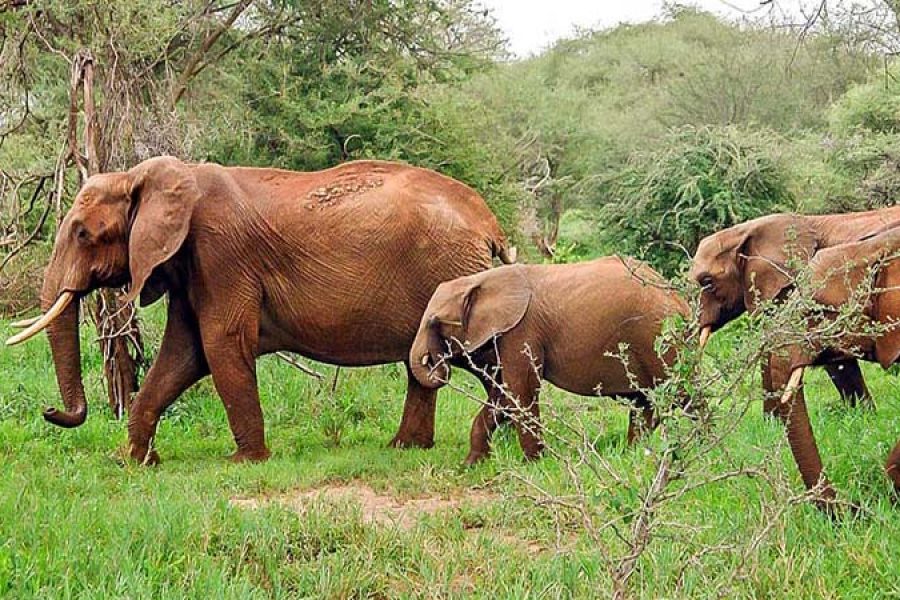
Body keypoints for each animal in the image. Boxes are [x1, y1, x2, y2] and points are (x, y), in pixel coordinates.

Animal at [5, 156, 512, 464]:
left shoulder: (220, 254)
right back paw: (406, 448)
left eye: (83, 234)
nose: (51, 411)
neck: (157, 177)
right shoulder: (191, 266)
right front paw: (134, 461)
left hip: (452, 277)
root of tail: (488, 222)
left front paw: (244, 461)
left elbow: (221, 344)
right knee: (424, 365)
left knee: (482, 359)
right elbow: (183, 354)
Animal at [412, 258, 692, 464]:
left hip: (660, 338)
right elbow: (503, 396)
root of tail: (683, 303)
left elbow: (520, 391)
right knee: (645, 402)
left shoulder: (521, 331)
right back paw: (633, 454)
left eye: (435, 322)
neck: (481, 279)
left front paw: (534, 464)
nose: (435, 359)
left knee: (681, 394)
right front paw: (471, 464)